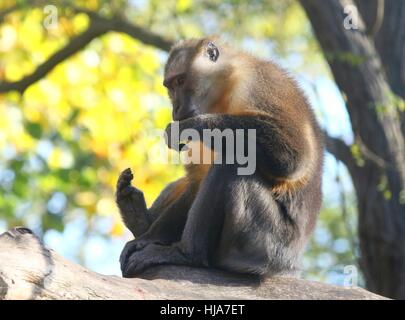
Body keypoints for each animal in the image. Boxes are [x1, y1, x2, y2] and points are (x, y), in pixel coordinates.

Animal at [116, 37, 322, 278]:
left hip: (267, 245)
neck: (225, 90)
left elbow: (293, 158)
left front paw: (186, 128)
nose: (176, 109)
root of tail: (291, 263)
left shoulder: (259, 83)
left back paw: (188, 254)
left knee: (233, 164)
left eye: (181, 81)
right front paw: (148, 238)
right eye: (170, 86)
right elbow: (196, 184)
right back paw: (140, 219)